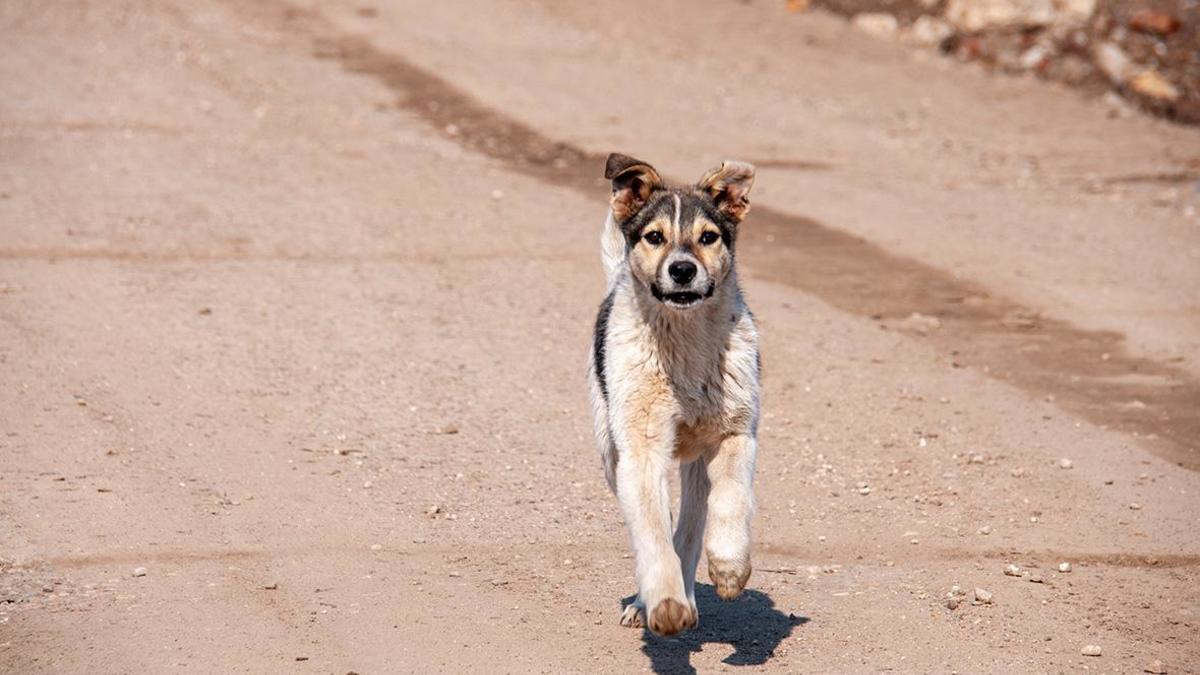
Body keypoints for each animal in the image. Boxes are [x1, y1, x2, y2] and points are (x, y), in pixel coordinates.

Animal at [588, 153, 758, 634]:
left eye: (708, 237)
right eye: (654, 237)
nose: (682, 270)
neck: (684, 347)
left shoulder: (737, 432)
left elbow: (730, 498)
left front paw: (730, 567)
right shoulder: (641, 448)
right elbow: (651, 530)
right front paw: (664, 603)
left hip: (696, 462)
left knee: (692, 522)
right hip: (611, 450)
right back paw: (649, 601)